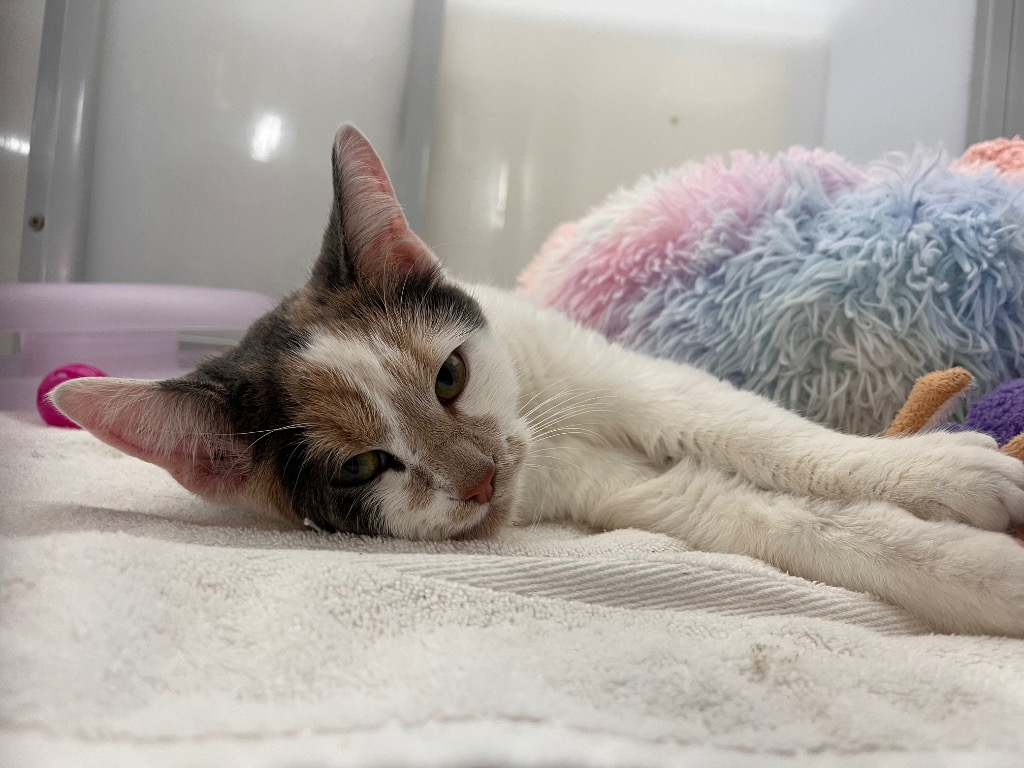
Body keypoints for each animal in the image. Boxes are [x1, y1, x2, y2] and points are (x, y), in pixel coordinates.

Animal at [52, 125, 1024, 638]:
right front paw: (988, 571)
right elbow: (775, 513)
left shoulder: (634, 383)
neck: (545, 441)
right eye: (362, 468)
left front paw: (942, 470)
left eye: (450, 376)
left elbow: (769, 436)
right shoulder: (627, 487)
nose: (482, 476)